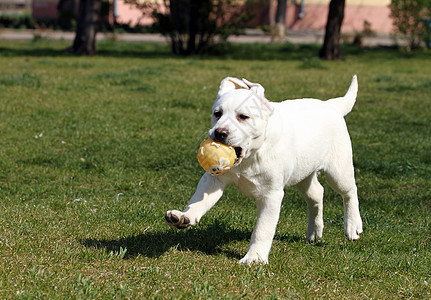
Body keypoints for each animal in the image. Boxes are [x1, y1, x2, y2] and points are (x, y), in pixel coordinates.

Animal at [167, 75, 362, 264]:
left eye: (243, 117)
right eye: (217, 114)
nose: (219, 133)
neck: (249, 157)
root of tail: (331, 105)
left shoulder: (271, 195)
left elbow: (262, 229)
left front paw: (255, 258)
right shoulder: (214, 179)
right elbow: (199, 201)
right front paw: (184, 216)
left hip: (337, 170)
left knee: (350, 191)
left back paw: (353, 225)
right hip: (303, 172)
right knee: (316, 193)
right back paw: (315, 231)